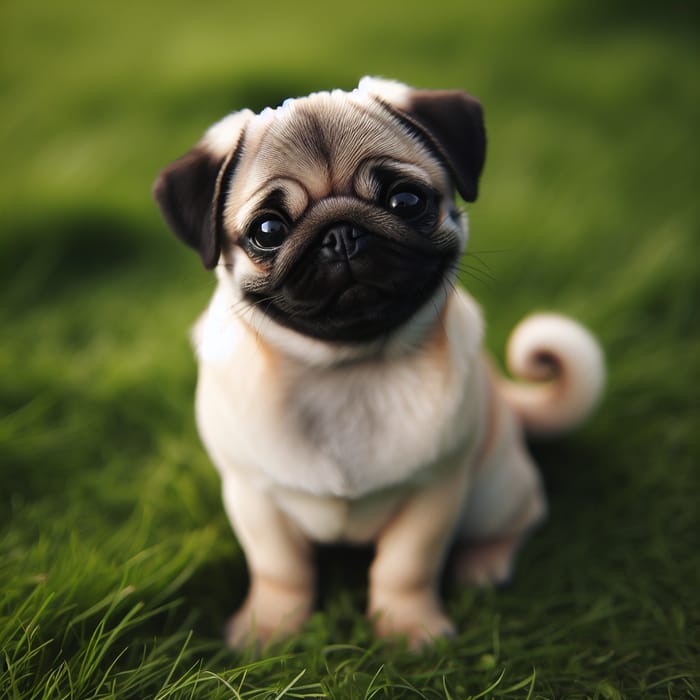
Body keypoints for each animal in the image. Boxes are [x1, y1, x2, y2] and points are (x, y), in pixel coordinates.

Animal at [154, 75, 608, 644]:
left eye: (406, 200)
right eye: (267, 230)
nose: (341, 233)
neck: (346, 370)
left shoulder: (433, 493)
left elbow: (405, 565)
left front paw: (408, 629)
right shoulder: (254, 497)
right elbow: (279, 568)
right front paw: (270, 627)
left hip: (494, 489)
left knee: (524, 516)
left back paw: (483, 563)